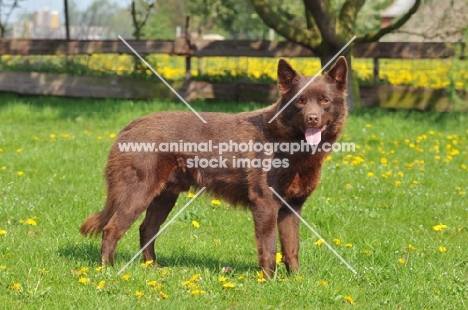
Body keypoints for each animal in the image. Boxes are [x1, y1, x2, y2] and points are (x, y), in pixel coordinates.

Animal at [80, 56, 348, 278]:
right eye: (300, 101)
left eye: (324, 100)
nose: (312, 118)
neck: (287, 142)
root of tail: (130, 126)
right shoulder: (265, 203)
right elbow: (269, 247)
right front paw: (269, 280)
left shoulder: (292, 206)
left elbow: (292, 247)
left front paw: (295, 279)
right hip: (137, 192)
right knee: (112, 229)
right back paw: (108, 271)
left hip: (164, 195)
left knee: (147, 229)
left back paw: (153, 267)